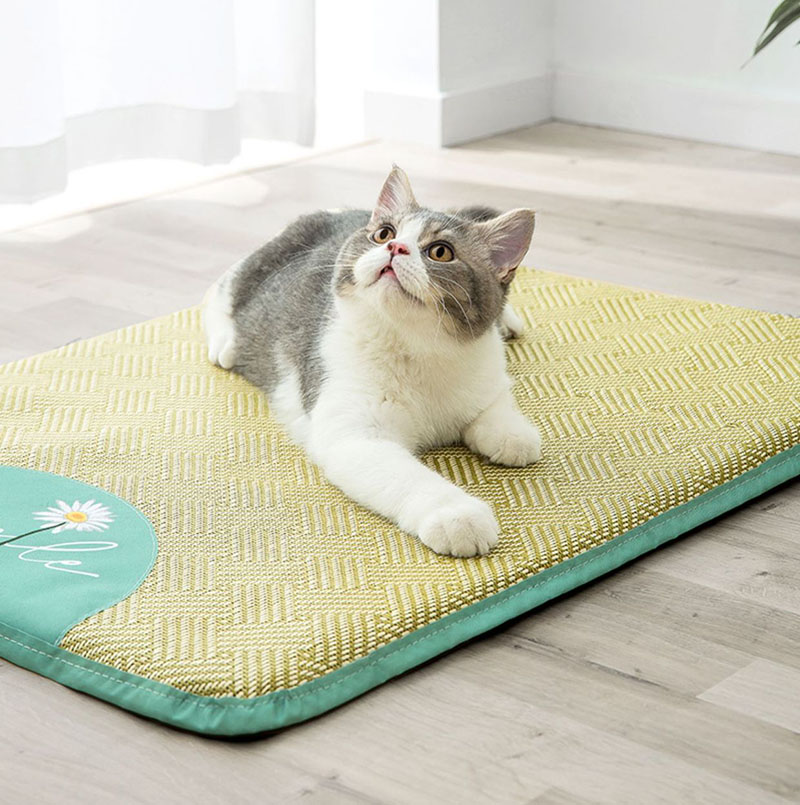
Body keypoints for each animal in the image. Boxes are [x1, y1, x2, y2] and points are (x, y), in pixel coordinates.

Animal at [203, 166, 542, 557]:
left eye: (441, 252)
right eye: (385, 234)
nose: (396, 247)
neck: (417, 351)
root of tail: (335, 211)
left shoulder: (484, 368)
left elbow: (496, 406)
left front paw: (512, 432)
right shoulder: (354, 432)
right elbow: (406, 476)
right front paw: (456, 514)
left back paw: (509, 320)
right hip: (251, 273)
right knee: (217, 289)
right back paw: (225, 341)